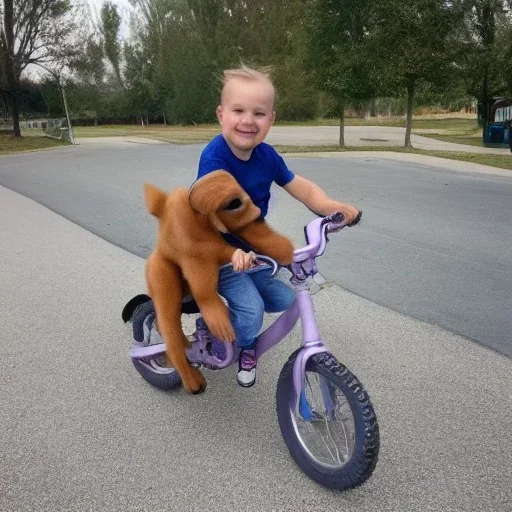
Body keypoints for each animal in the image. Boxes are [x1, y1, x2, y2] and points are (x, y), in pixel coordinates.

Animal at [146, 170, 294, 394]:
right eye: (234, 203)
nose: (259, 213)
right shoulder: (194, 252)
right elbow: (204, 286)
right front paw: (218, 321)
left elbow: (252, 237)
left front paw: (286, 251)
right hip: (160, 273)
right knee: (168, 319)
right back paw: (191, 378)